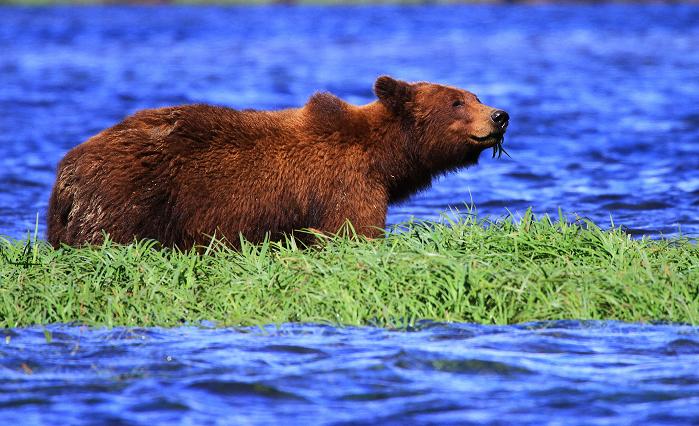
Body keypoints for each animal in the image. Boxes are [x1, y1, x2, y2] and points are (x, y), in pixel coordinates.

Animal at [47, 76, 509, 249]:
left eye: (475, 95)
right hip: (129, 198)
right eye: (456, 101)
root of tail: (66, 169)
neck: (384, 158)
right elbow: (352, 232)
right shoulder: (345, 185)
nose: (500, 115)